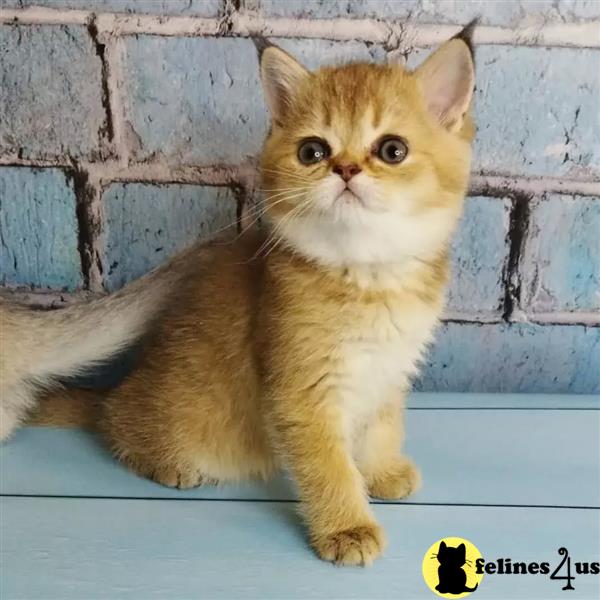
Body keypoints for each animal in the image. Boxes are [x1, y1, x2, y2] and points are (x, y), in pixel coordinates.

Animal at [1, 24, 478, 568]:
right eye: (313, 152)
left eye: (392, 150)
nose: (345, 170)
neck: (367, 275)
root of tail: (118, 390)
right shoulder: (301, 390)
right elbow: (328, 464)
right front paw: (347, 527)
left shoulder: (390, 370)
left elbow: (381, 424)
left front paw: (380, 470)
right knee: (117, 428)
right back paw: (168, 463)